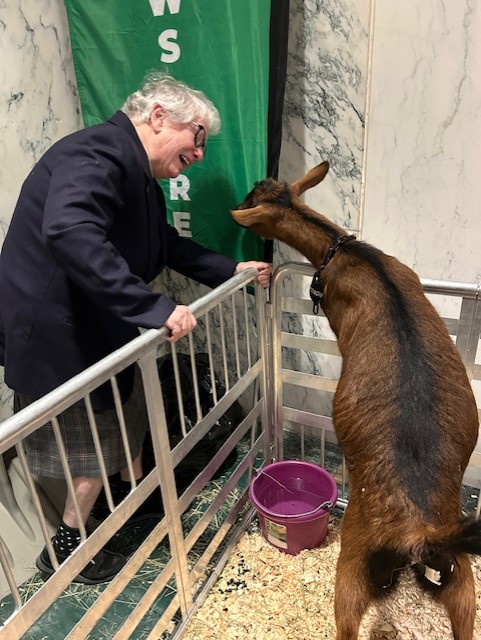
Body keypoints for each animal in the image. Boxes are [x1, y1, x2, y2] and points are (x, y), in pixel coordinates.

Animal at [231, 161, 478, 640]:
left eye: (253, 199)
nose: (239, 204)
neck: (350, 253)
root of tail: (421, 533)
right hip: (462, 584)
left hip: (352, 563)